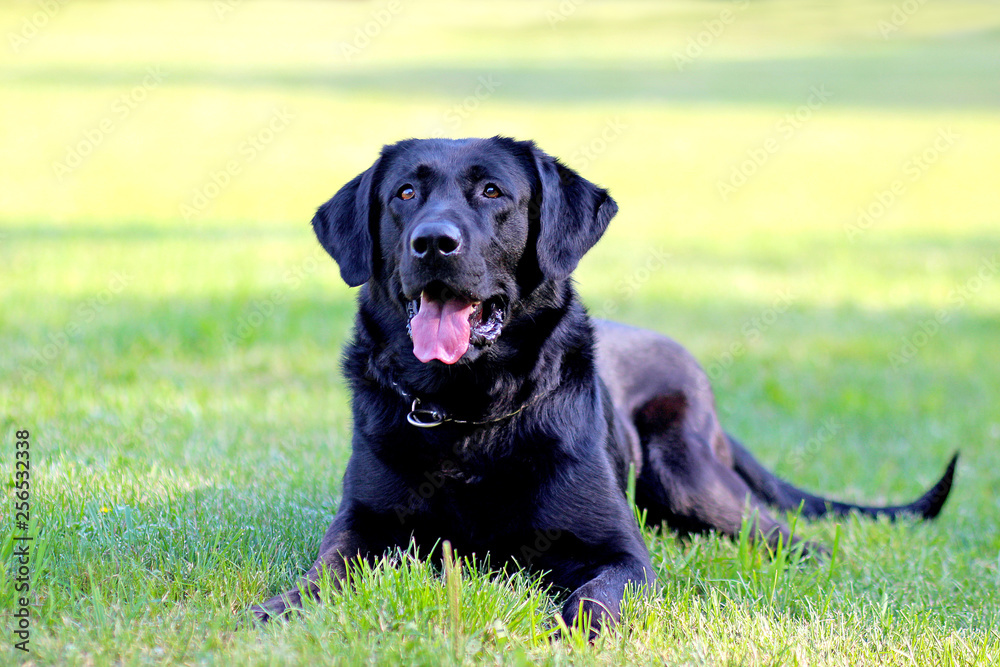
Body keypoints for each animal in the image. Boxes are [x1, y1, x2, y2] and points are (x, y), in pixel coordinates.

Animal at [254, 137, 956, 636]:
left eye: (491, 191)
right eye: (403, 194)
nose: (433, 243)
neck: (469, 414)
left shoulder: (620, 552)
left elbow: (595, 598)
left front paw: (561, 630)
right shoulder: (364, 524)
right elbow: (325, 571)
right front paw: (280, 609)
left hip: (690, 478)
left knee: (784, 533)